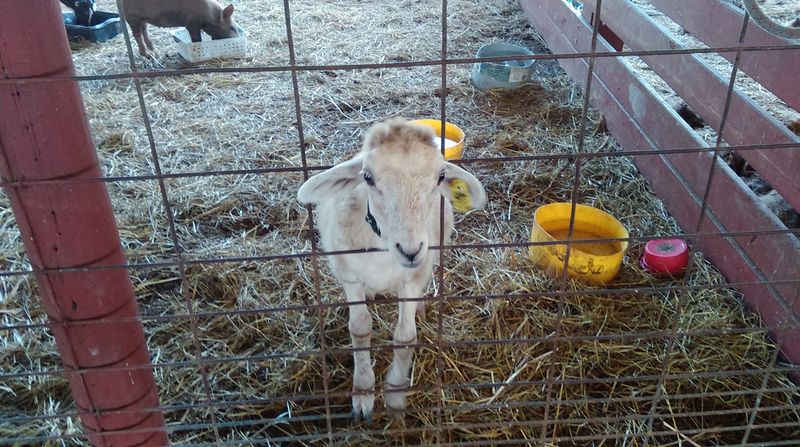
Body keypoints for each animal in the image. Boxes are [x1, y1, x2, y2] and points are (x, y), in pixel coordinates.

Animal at [297, 118, 487, 421]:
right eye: (367, 177)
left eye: (440, 177)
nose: (409, 250)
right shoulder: (350, 276)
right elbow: (360, 329)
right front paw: (363, 391)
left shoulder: (411, 279)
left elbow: (406, 337)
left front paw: (396, 393)